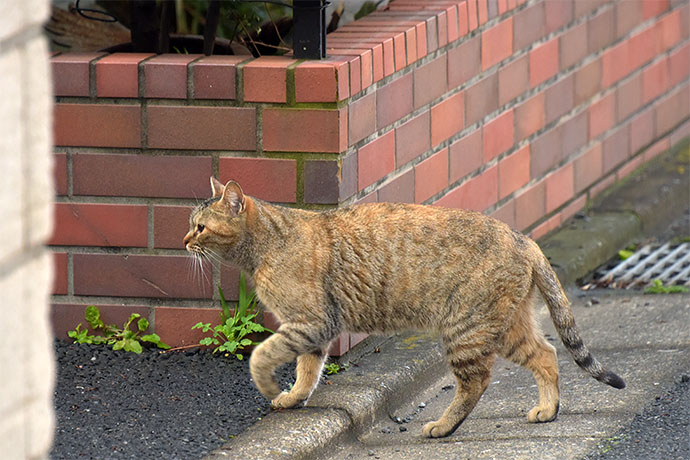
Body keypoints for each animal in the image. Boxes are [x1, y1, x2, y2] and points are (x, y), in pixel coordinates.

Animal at [183, 177, 624, 438]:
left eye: (201, 227)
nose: (184, 241)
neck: (266, 244)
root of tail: (523, 238)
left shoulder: (310, 322)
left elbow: (261, 354)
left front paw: (271, 387)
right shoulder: (314, 331)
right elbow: (308, 372)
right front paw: (293, 399)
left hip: (466, 328)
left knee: (477, 382)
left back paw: (443, 427)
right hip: (506, 326)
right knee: (546, 354)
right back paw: (547, 410)